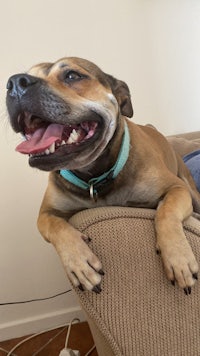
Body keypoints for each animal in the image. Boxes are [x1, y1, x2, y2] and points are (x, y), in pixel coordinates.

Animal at [6, 56, 200, 294]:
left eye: (72, 75)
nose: (14, 83)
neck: (93, 173)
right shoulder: (46, 213)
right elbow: (54, 225)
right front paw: (79, 262)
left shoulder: (175, 189)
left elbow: (166, 211)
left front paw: (178, 258)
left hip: (190, 188)